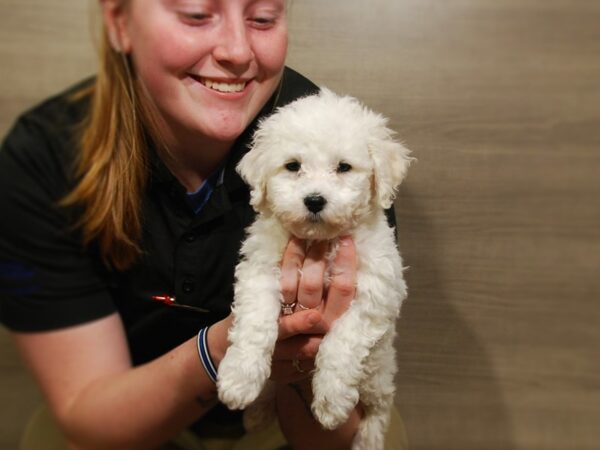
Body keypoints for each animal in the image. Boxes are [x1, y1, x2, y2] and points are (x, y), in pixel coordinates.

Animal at [219, 88, 412, 450]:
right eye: (293, 166)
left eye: (344, 167)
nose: (314, 200)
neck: (319, 241)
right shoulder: (260, 271)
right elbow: (255, 323)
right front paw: (239, 378)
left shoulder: (378, 293)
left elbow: (342, 341)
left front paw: (331, 402)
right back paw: (257, 411)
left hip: (377, 371)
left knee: (379, 405)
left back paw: (368, 438)